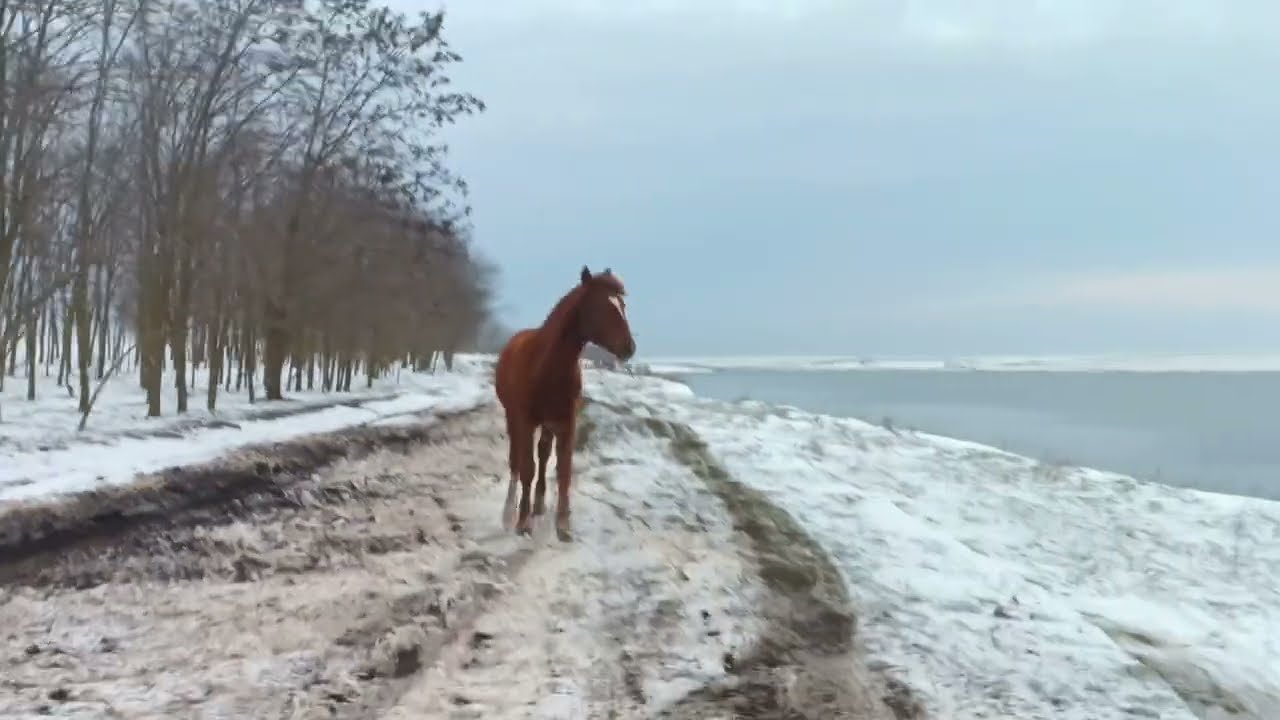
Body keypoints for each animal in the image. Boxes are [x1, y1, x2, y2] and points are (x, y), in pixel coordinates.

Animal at [493, 266, 636, 542]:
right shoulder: (525, 420)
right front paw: (522, 522)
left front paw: (563, 525)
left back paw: (538, 505)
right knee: (516, 460)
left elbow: (563, 470)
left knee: (543, 453)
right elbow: (526, 467)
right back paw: (508, 514)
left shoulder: (567, 422)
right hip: (512, 418)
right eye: (601, 306)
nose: (629, 348)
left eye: (623, 305)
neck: (545, 364)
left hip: (549, 423)